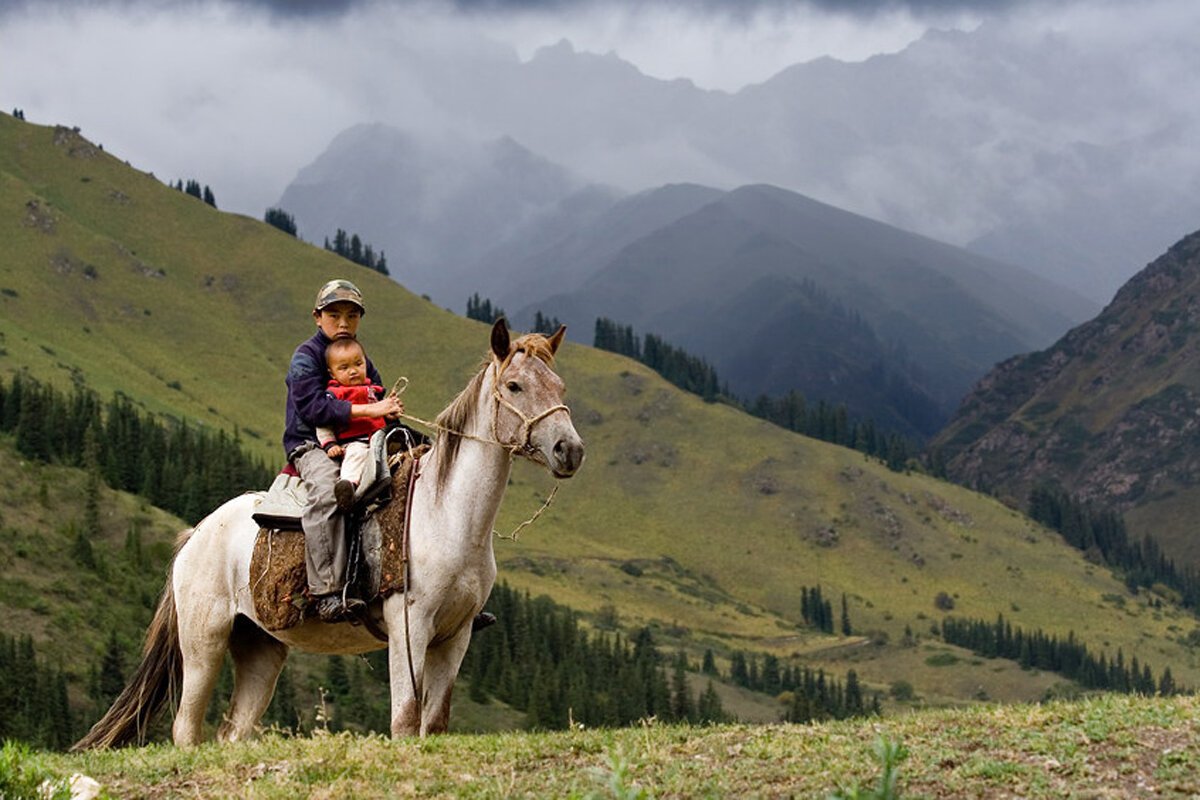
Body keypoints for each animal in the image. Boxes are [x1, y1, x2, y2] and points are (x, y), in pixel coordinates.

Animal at [72, 319, 583, 753]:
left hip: (260, 649)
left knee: (233, 731)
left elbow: (434, 723)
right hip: (203, 645)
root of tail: (193, 536)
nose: (570, 450)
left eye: (560, 387)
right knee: (185, 729)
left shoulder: (455, 636)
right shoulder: (409, 627)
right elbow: (404, 721)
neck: (445, 514)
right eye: (514, 386)